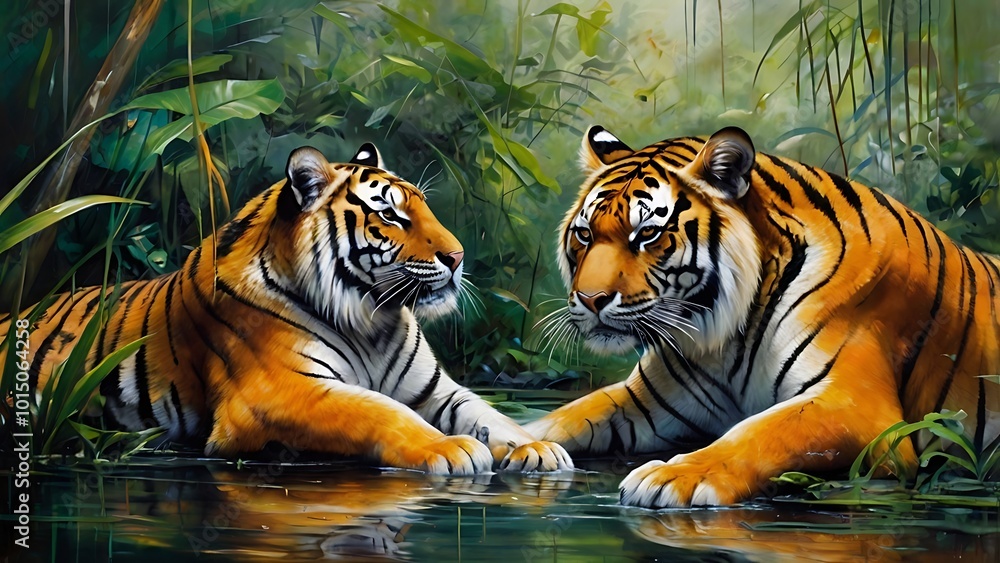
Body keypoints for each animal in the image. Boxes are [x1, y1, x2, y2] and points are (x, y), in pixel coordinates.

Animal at [2, 143, 572, 474]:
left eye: (424, 206)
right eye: (390, 215)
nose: (456, 258)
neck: (371, 316)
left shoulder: (436, 389)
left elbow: (487, 412)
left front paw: (535, 449)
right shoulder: (278, 392)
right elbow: (381, 410)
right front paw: (449, 449)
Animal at [525, 125, 1000, 507]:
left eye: (648, 234)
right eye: (584, 234)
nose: (590, 299)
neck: (722, 334)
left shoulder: (859, 409)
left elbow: (756, 433)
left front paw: (670, 476)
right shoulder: (646, 400)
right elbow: (565, 416)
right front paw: (523, 445)